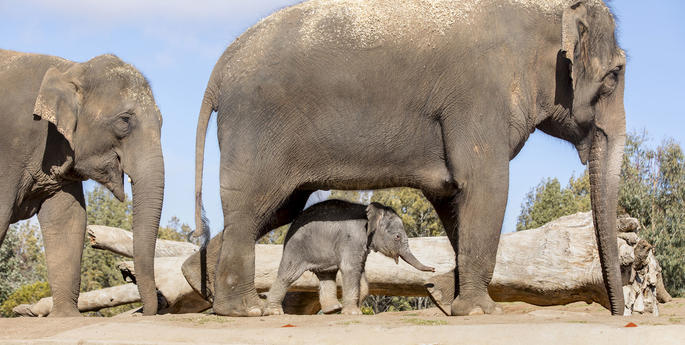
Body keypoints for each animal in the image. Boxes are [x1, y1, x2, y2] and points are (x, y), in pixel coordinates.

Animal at [0, 49, 164, 316]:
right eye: (125, 120)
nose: (149, 309)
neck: (70, 69)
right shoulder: (10, 145)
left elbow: (69, 218)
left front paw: (66, 316)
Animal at [264, 199, 430, 314]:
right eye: (397, 237)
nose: (433, 269)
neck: (368, 212)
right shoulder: (353, 239)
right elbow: (350, 269)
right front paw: (353, 313)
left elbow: (360, 271)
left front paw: (356, 309)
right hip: (296, 248)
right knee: (288, 275)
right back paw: (274, 312)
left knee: (327, 275)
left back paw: (333, 309)